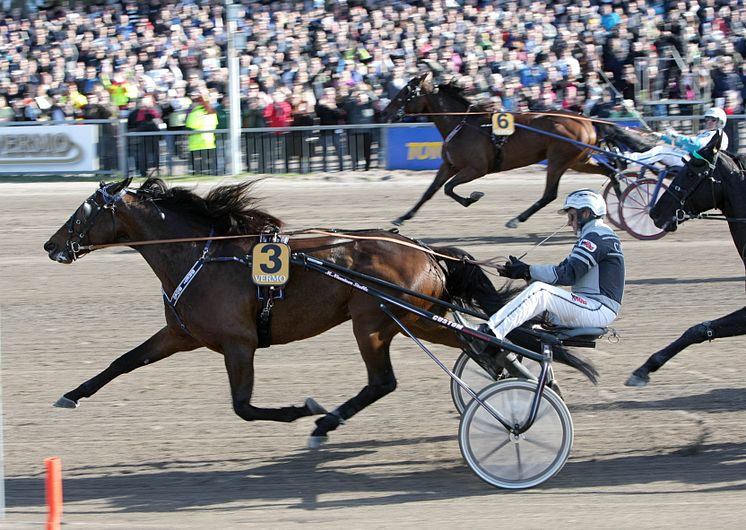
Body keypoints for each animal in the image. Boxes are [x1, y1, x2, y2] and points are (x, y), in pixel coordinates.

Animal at [45, 177, 592, 446]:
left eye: (81, 212)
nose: (51, 245)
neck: (204, 254)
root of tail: (425, 249)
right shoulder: (181, 334)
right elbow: (122, 362)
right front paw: (70, 395)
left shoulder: (238, 344)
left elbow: (243, 407)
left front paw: (300, 409)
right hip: (413, 317)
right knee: (480, 345)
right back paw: (526, 382)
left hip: (376, 322)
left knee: (384, 381)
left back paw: (325, 423)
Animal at [380, 72, 652, 227]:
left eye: (406, 92)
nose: (385, 112)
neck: (463, 124)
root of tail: (586, 119)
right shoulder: (449, 165)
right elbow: (431, 191)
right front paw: (403, 217)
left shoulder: (477, 168)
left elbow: (449, 189)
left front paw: (472, 197)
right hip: (579, 160)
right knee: (612, 172)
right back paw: (621, 209)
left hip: (559, 159)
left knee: (549, 194)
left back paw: (516, 219)